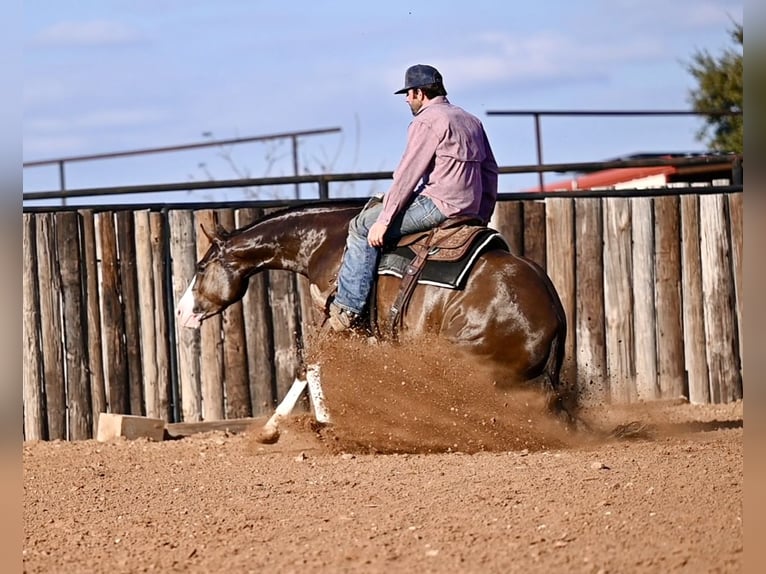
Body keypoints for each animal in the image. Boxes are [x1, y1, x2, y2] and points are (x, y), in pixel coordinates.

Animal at [177, 202, 576, 440]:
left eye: (201, 266)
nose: (181, 312)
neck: (326, 243)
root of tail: (554, 312)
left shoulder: (341, 318)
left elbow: (310, 363)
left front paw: (304, 425)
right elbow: (310, 368)